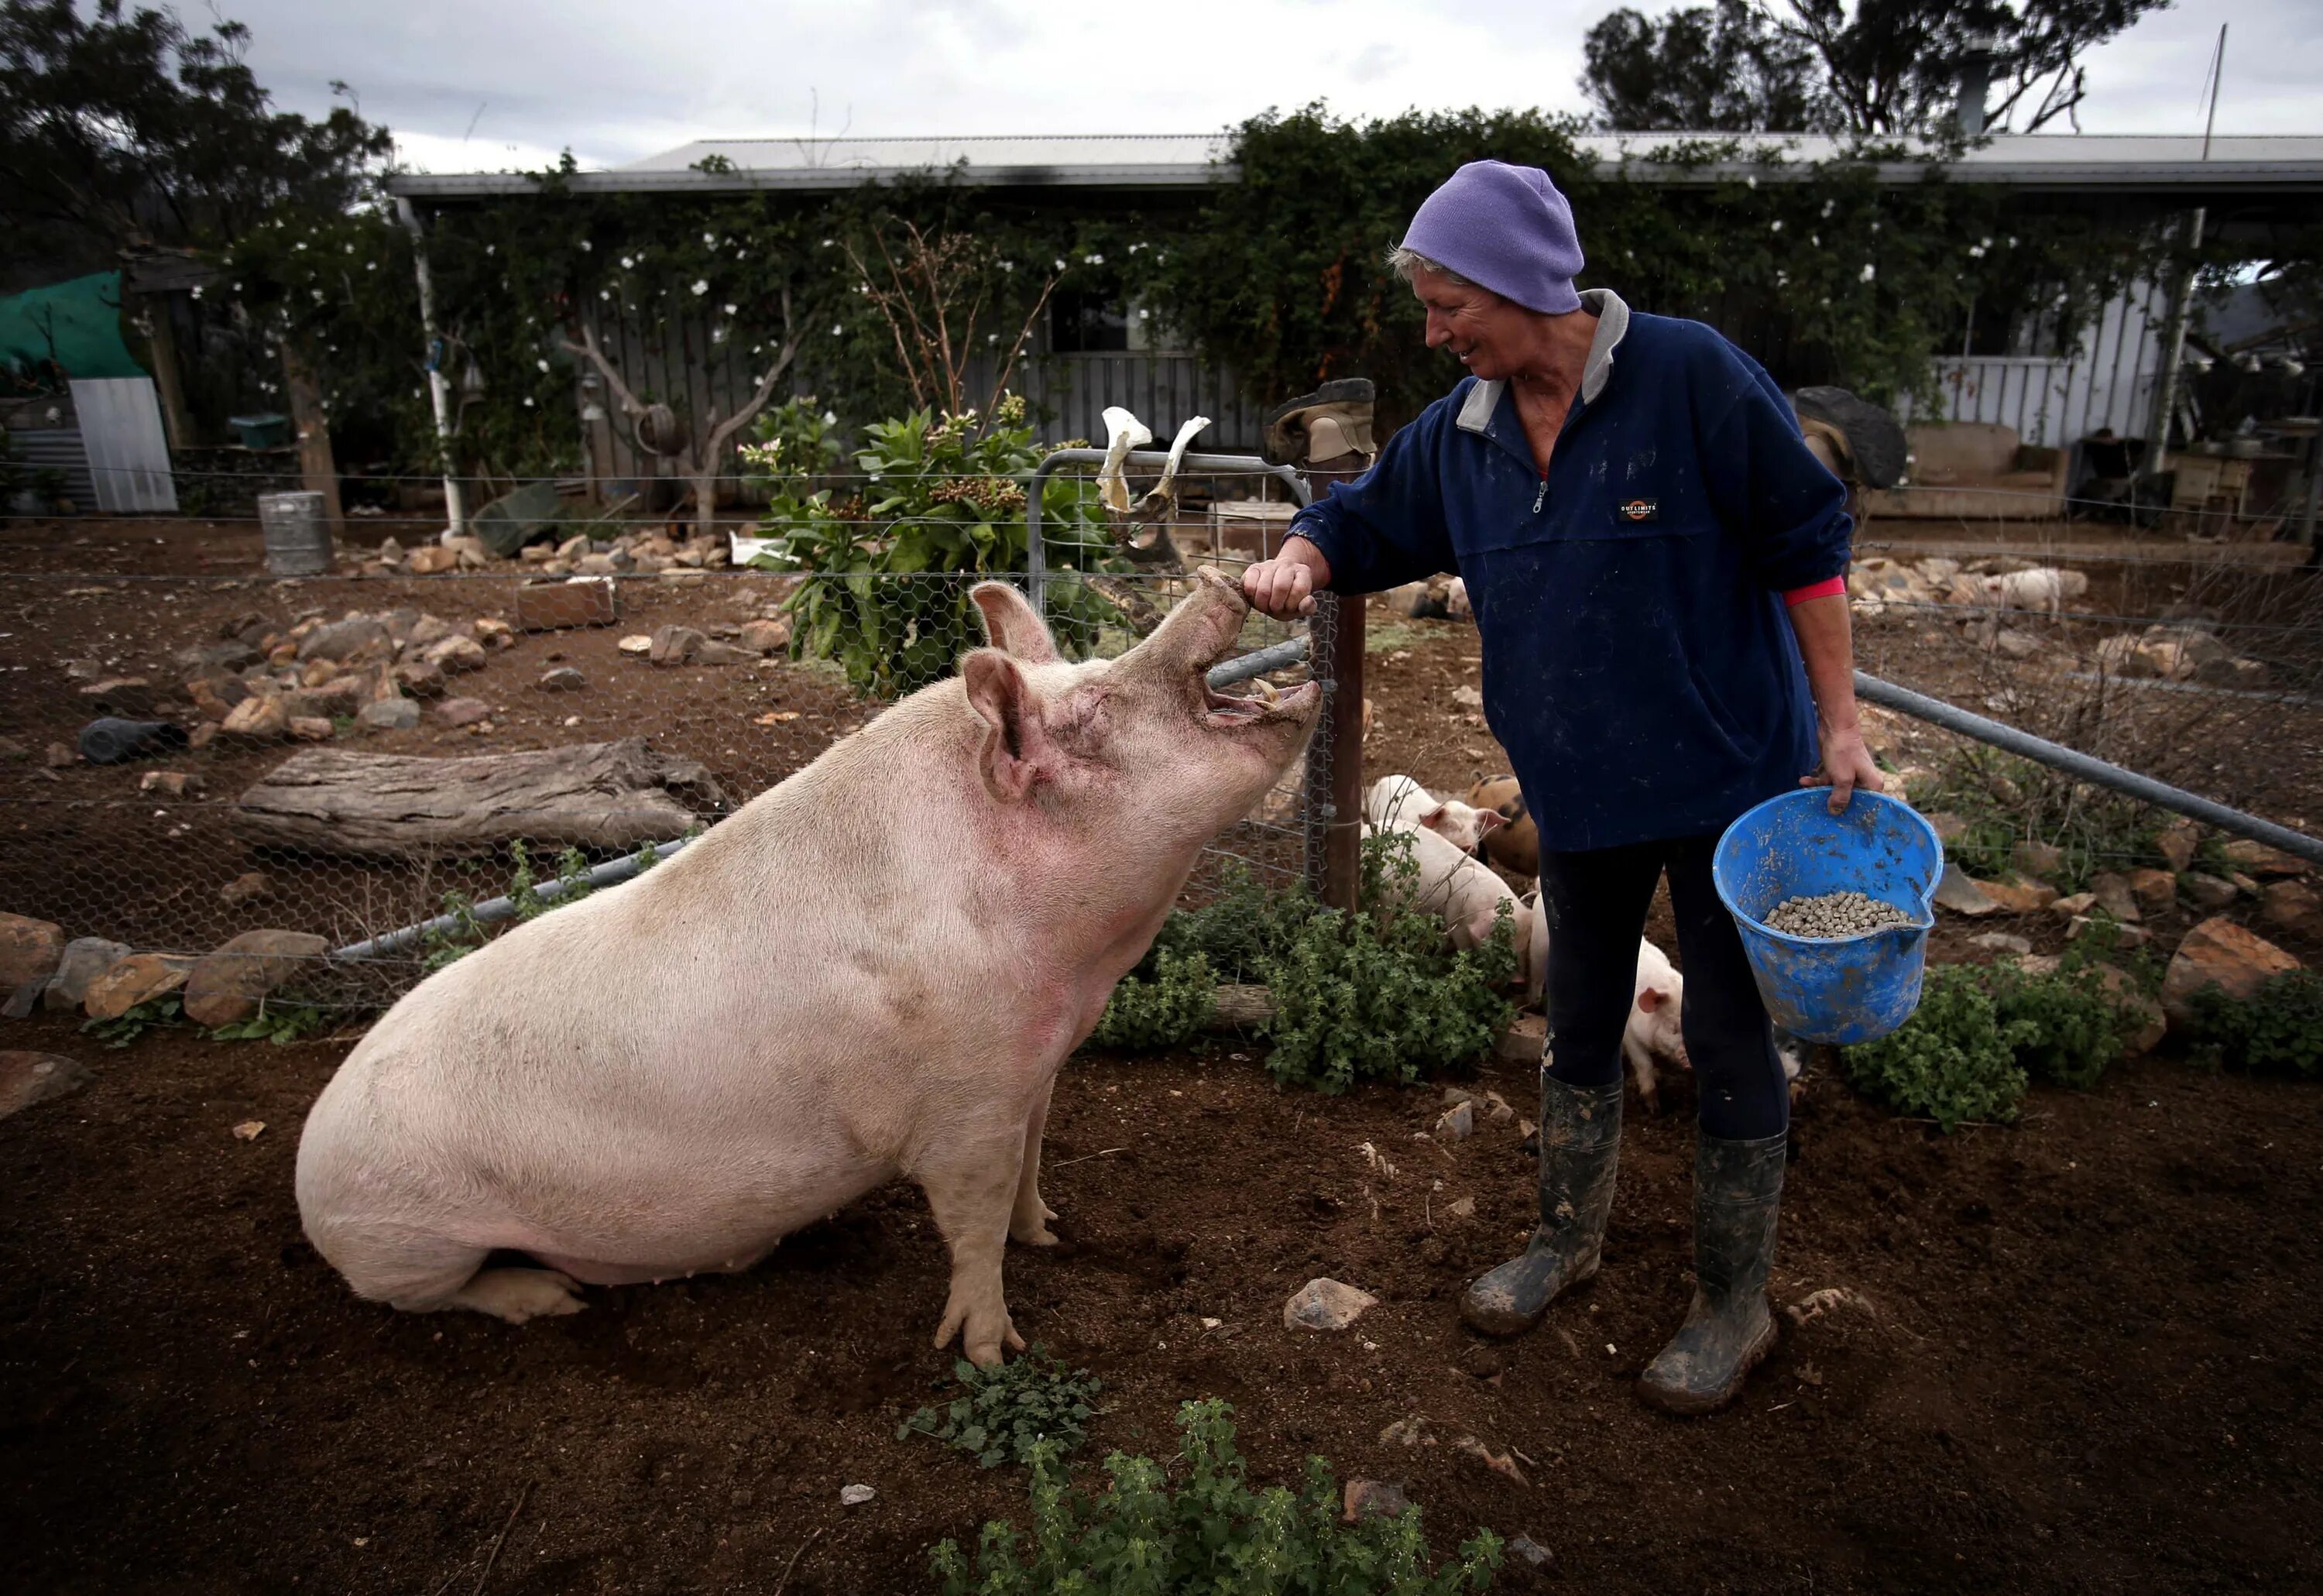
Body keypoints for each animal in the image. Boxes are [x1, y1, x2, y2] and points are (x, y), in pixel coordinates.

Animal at [293, 569, 1319, 1366]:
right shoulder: (962, 1106)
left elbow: (1030, 1170)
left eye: (1091, 673)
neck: (1074, 979)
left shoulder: (1033, 1070)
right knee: (436, 1294)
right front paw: (993, 1353)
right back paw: (551, 1301)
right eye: (1093, 704)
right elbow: (974, 1224)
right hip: (402, 1239)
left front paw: (1050, 1232)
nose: (1219, 581)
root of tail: (309, 1155)